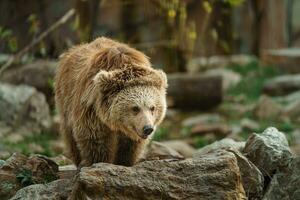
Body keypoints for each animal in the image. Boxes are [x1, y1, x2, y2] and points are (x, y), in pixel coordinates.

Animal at [55, 37, 168, 167]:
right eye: (135, 108)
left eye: (152, 107)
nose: (148, 128)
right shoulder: (91, 109)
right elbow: (95, 139)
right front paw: (99, 162)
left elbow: (130, 146)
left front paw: (124, 162)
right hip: (65, 98)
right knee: (69, 133)